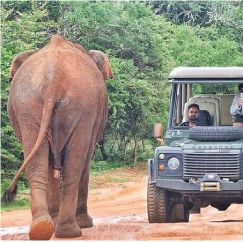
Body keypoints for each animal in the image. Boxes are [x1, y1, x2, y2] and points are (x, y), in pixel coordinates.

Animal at [2, 35, 114, 240]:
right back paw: (71, 230)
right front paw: (85, 223)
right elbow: (84, 160)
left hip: (28, 104)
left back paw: (42, 228)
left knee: (37, 164)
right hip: (82, 106)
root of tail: (53, 78)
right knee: (75, 164)